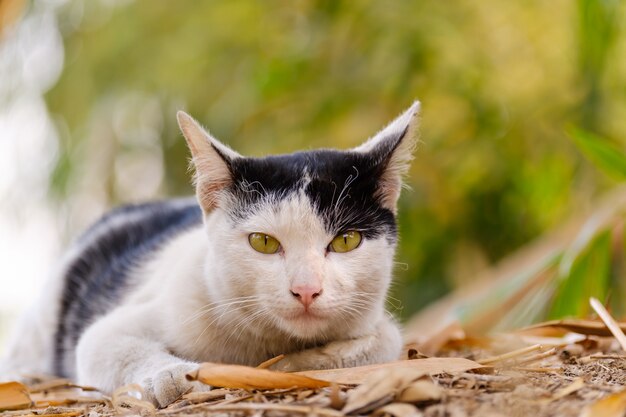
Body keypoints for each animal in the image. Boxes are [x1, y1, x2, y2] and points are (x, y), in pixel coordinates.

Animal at [1, 101, 420, 406]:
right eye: (263, 242)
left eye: (346, 241)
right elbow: (111, 347)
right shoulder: (112, 327)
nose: (306, 290)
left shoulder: (378, 328)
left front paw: (287, 365)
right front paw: (173, 377)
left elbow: (380, 343)